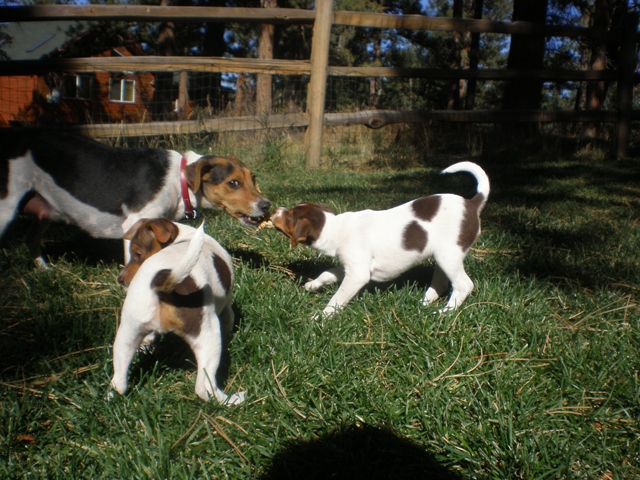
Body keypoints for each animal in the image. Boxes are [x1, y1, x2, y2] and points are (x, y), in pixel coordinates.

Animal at [0, 129, 270, 268]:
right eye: (233, 183)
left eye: (253, 178)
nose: (266, 205)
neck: (179, 179)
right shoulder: (135, 224)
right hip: (6, 207)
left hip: (45, 207)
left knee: (31, 239)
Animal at [111, 218, 244, 404]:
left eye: (137, 254)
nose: (120, 279)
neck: (183, 237)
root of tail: (161, 282)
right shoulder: (227, 306)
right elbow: (229, 321)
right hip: (208, 334)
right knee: (204, 387)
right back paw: (232, 400)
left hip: (128, 332)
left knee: (119, 381)